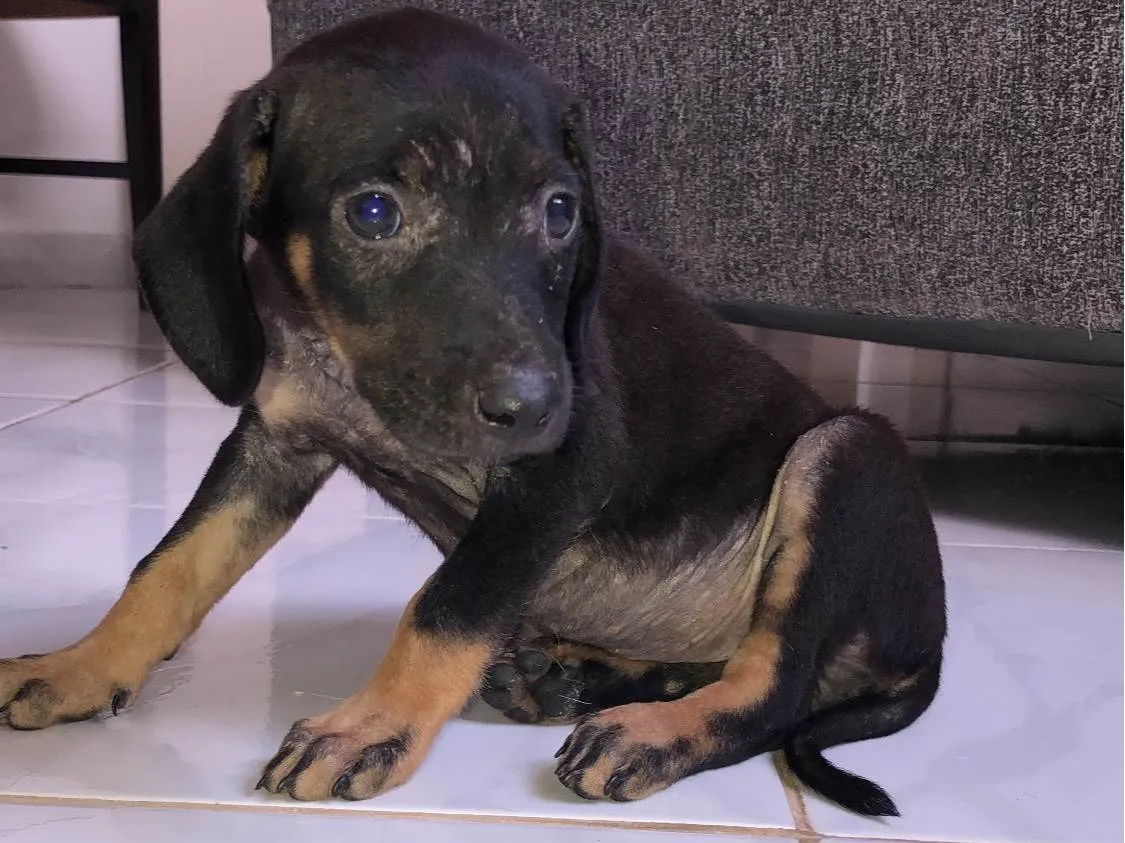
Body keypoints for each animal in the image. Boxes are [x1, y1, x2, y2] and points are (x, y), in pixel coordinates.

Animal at [0, 7, 946, 817]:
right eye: (373, 211)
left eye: (560, 211)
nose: (536, 404)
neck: (350, 368)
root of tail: (923, 646)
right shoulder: (274, 442)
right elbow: (168, 567)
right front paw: (79, 665)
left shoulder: (561, 471)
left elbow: (446, 603)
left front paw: (370, 725)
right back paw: (576, 675)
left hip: (845, 453)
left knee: (772, 689)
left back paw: (647, 732)